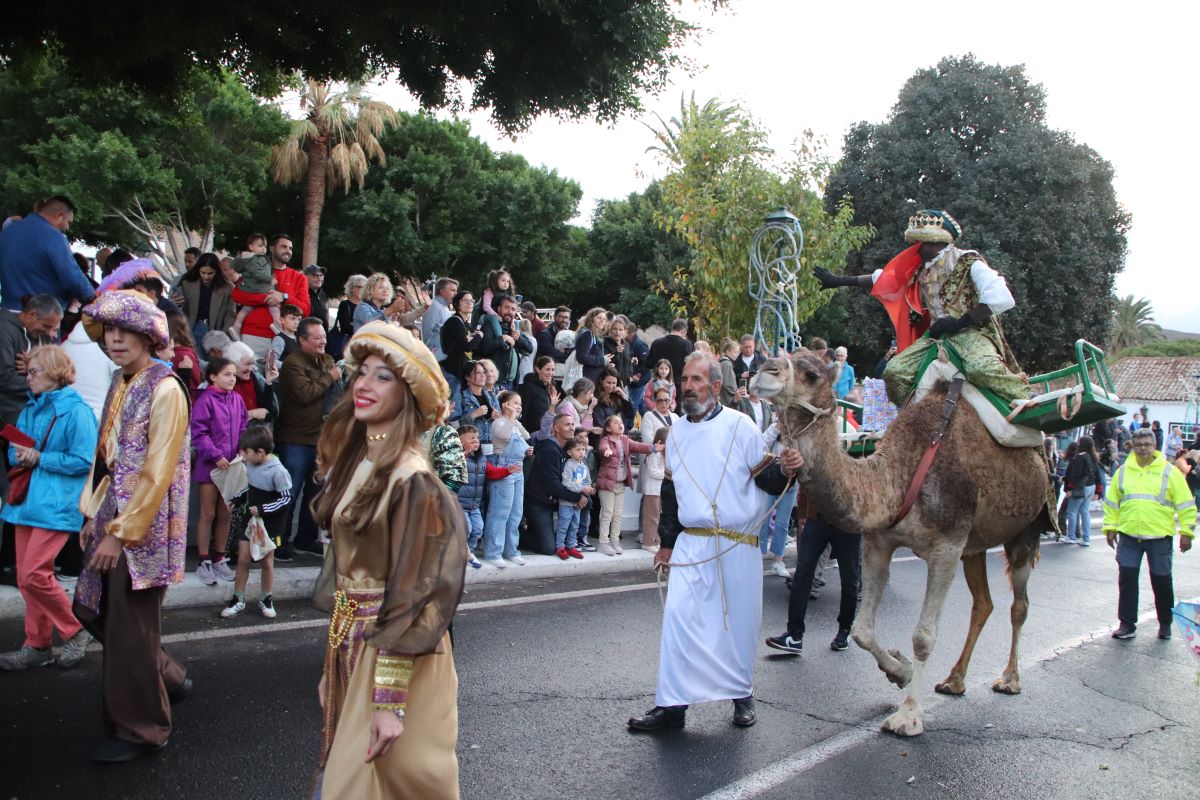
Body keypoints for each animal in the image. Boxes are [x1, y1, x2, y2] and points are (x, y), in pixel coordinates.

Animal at [748, 350, 1051, 738]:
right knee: (983, 604)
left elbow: (923, 635)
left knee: (1020, 605)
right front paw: (900, 671)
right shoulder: (879, 542)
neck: (896, 478)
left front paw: (908, 715)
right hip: (976, 546)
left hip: (1027, 527)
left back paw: (1010, 679)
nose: (763, 370)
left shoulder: (946, 547)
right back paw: (954, 681)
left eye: (812, 374)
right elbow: (861, 630)